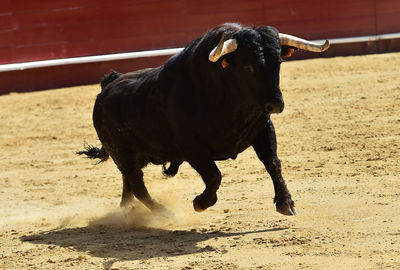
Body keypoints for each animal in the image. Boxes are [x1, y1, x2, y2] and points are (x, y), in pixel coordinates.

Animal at [78, 23, 328, 217]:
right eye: (248, 65)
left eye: (279, 62)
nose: (275, 104)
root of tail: (108, 85)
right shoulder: (192, 149)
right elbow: (214, 175)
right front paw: (200, 203)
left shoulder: (263, 129)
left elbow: (273, 163)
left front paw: (286, 204)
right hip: (123, 153)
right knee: (137, 183)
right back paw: (164, 213)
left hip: (132, 156)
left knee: (128, 182)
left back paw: (126, 211)